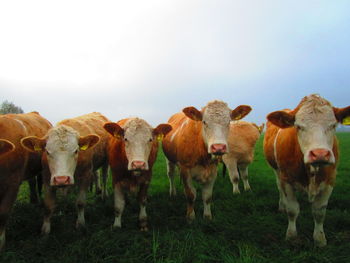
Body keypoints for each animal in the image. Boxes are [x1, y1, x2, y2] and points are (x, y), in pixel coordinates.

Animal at [264, 94, 348, 248]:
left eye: (333, 125)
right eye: (298, 126)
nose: (320, 154)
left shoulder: (330, 180)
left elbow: (319, 212)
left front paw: (320, 239)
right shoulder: (286, 180)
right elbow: (292, 209)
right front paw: (291, 236)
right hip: (277, 172)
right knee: (279, 188)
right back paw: (282, 206)